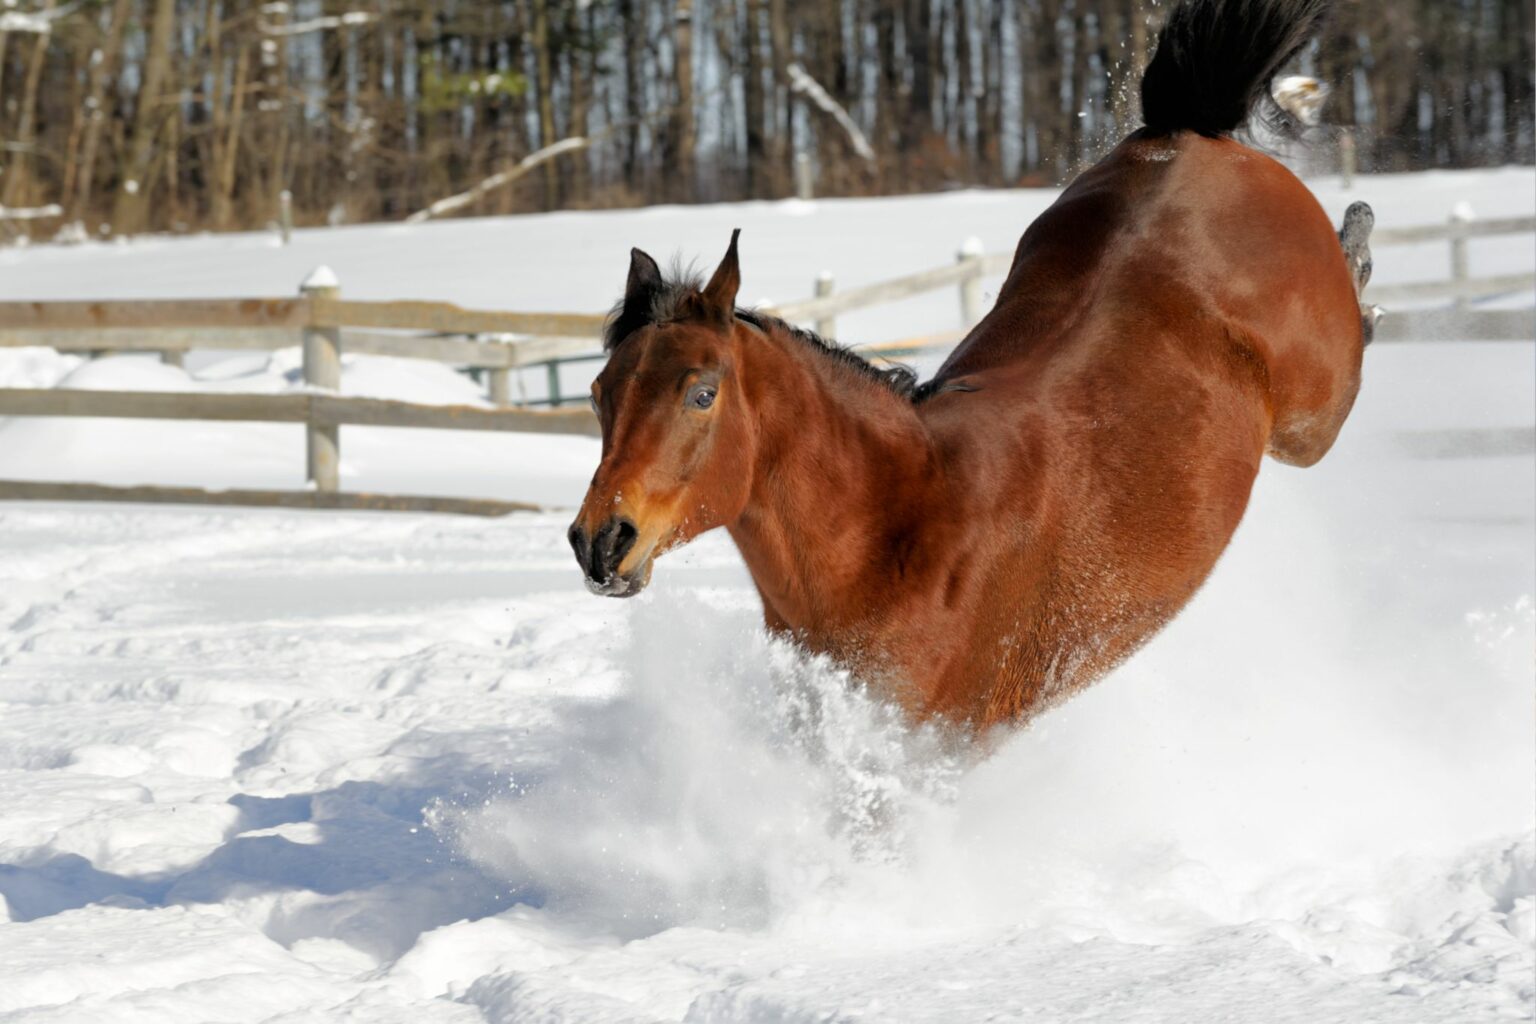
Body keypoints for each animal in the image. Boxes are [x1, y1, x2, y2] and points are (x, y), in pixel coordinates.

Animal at [568, 0, 1376, 733]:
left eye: (702, 394)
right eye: (599, 393)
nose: (600, 543)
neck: (903, 525)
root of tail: (1187, 132)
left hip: (1312, 418)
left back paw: (1359, 228)